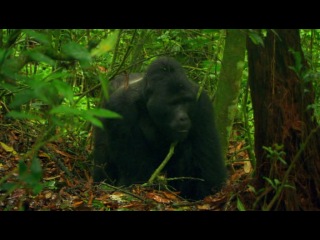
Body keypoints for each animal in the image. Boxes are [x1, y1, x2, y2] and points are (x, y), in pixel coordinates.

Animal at [93, 56, 228, 201]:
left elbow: (206, 158)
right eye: (173, 103)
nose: (183, 118)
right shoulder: (121, 106)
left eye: (185, 101)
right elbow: (135, 171)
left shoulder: (201, 101)